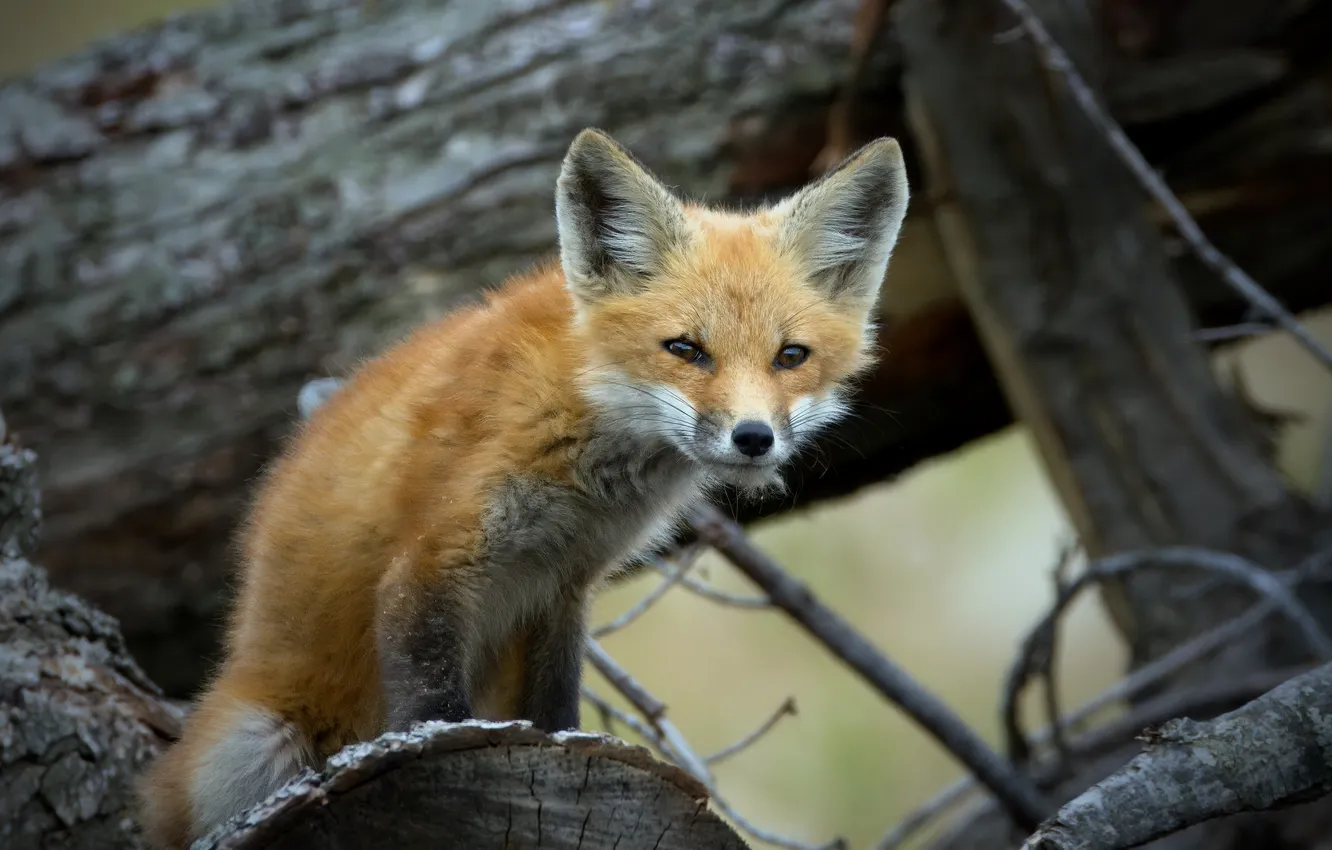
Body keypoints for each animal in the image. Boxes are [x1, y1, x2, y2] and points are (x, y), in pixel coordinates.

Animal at [135, 127, 909, 848]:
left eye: (791, 356)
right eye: (686, 349)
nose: (754, 438)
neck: (586, 430)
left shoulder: (563, 584)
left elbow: (556, 708)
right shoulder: (431, 562)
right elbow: (433, 709)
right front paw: (437, 746)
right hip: (252, 744)